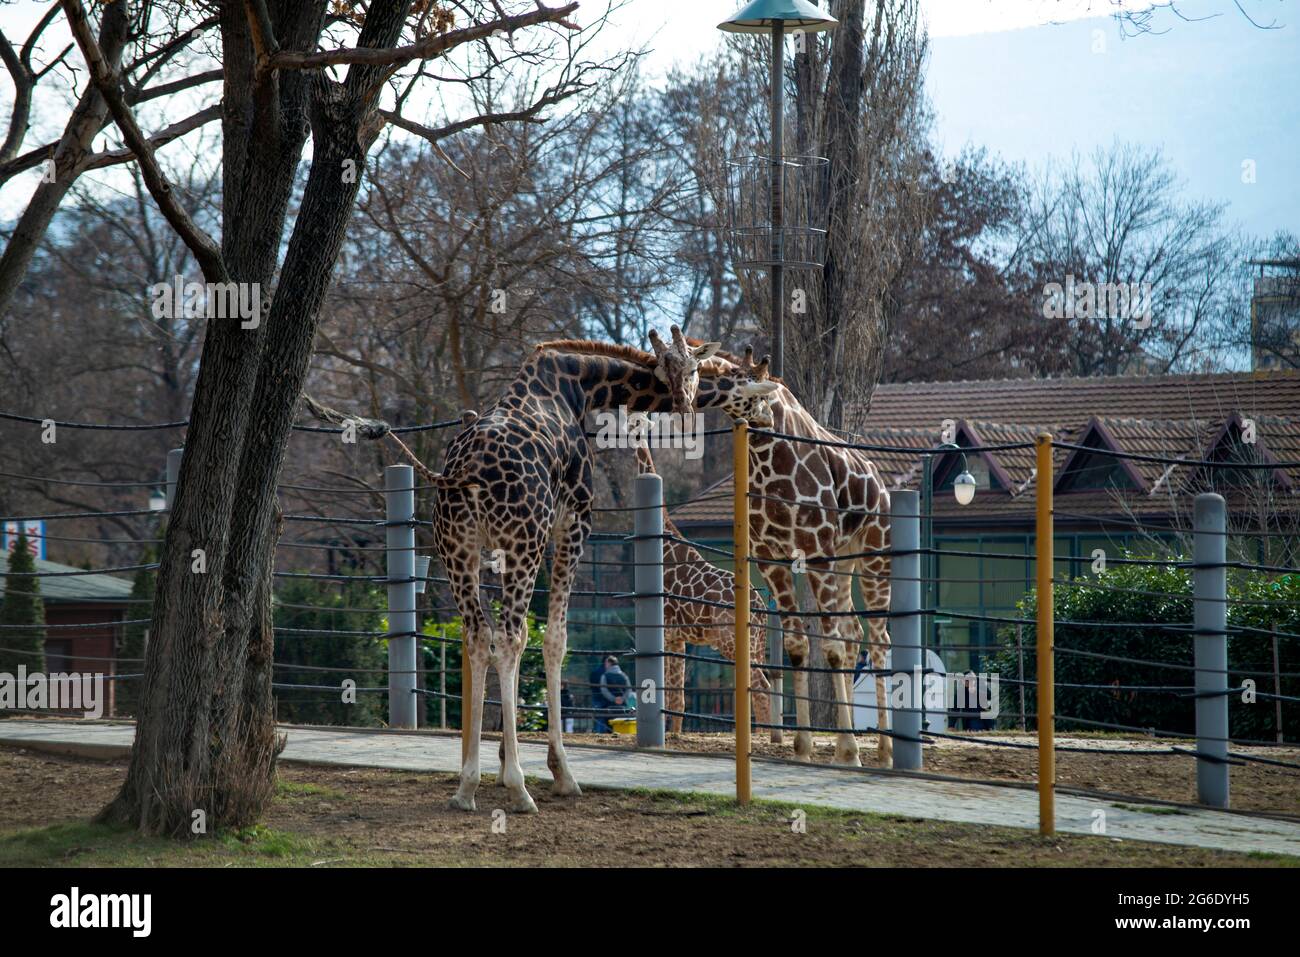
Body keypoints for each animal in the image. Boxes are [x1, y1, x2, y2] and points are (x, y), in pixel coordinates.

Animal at [631, 444, 769, 738]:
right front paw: (674, 735)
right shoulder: (676, 638)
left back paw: (766, 736)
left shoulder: (666, 633)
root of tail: (762, 607)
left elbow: (669, 692)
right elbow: (677, 697)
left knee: (762, 686)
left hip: (732, 642)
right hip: (753, 645)